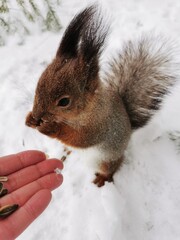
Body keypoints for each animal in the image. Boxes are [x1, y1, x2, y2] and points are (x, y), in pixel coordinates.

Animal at [25, 4, 179, 187]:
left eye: (64, 101)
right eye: (39, 83)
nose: (37, 114)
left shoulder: (100, 125)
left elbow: (80, 138)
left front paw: (51, 128)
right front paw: (30, 119)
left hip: (107, 160)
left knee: (112, 168)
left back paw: (102, 178)